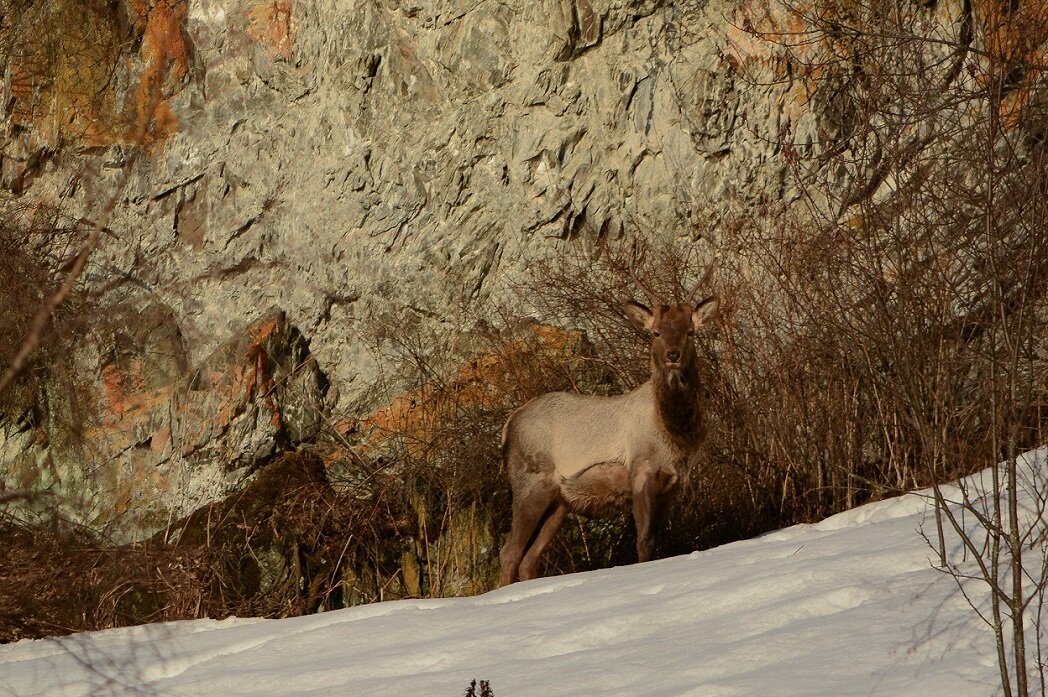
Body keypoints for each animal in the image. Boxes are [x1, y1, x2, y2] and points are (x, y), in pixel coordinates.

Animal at [498, 257, 721, 582]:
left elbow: (656, 539)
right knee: (509, 553)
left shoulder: (673, 483)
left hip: (560, 501)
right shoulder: (641, 470)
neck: (676, 436)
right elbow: (644, 541)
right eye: (655, 332)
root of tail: (508, 425)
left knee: (528, 559)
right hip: (530, 481)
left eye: (690, 332)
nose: (673, 355)